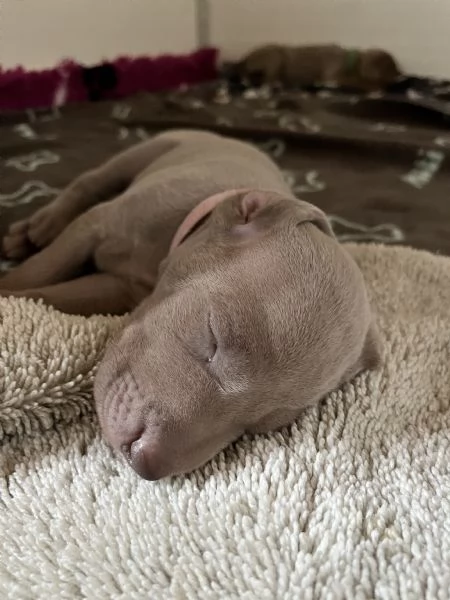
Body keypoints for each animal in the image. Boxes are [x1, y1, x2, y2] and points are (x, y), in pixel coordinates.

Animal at [0, 130, 382, 478]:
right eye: (212, 338)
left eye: (258, 425)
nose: (144, 464)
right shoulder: (93, 229)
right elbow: (37, 271)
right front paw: (8, 289)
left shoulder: (117, 288)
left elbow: (47, 294)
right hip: (155, 148)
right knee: (91, 180)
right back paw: (38, 226)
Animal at [232, 43, 400, 90]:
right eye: (390, 69)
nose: (400, 75)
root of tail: (245, 58)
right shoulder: (333, 76)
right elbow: (356, 81)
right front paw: (374, 87)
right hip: (276, 56)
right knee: (268, 79)